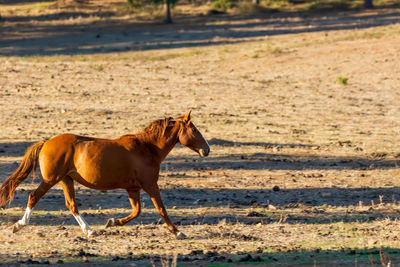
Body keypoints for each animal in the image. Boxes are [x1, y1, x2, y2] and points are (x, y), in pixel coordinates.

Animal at [0, 112, 211, 239]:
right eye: (194, 129)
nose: (207, 149)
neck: (146, 148)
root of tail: (46, 142)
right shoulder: (150, 185)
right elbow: (161, 209)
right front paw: (178, 232)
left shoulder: (133, 188)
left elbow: (136, 211)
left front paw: (112, 222)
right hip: (51, 179)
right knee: (33, 197)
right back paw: (19, 224)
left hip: (66, 180)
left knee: (72, 205)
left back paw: (90, 231)